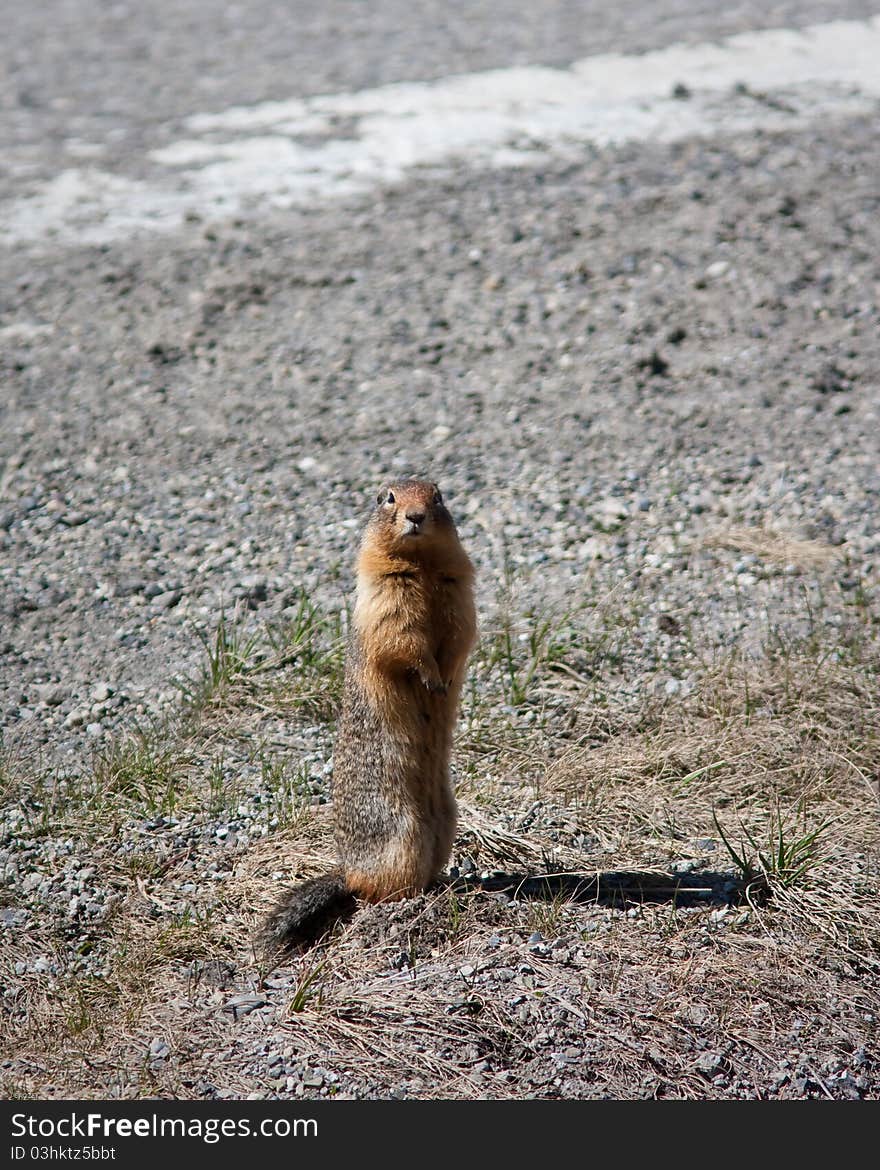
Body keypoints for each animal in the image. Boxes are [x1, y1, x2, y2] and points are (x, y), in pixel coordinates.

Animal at [263, 475, 475, 950]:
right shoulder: (385, 592)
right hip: (400, 835)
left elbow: (459, 634)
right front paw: (431, 679)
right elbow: (403, 638)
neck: (421, 565)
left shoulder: (458, 584)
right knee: (375, 891)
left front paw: (447, 677)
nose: (415, 516)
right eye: (388, 498)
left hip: (445, 825)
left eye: (438, 497)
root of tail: (347, 870)